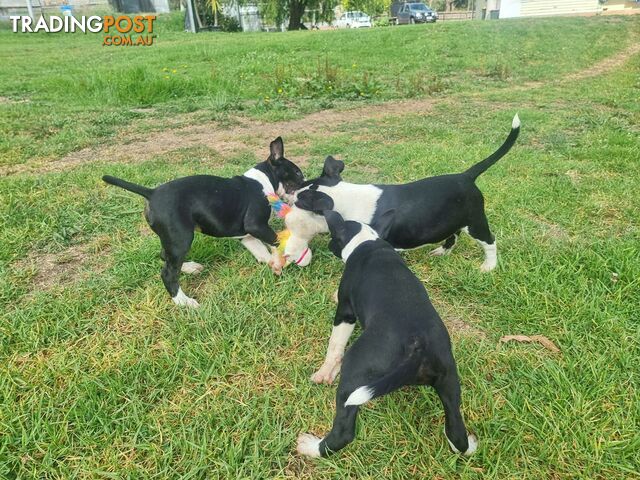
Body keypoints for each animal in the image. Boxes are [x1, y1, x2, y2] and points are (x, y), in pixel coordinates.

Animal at [104, 136, 304, 308]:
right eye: (297, 172)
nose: (306, 184)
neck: (263, 181)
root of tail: (151, 193)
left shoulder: (246, 235)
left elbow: (261, 250)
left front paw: (274, 264)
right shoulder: (256, 225)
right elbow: (276, 241)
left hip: (172, 239)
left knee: (165, 256)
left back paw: (190, 268)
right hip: (181, 238)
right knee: (168, 273)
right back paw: (184, 302)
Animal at [296, 212, 476, 460]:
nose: (329, 246)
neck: (368, 241)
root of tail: (418, 347)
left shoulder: (345, 311)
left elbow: (335, 344)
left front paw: (325, 372)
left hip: (355, 371)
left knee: (344, 432)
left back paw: (311, 447)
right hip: (449, 380)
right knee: (456, 431)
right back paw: (469, 445)